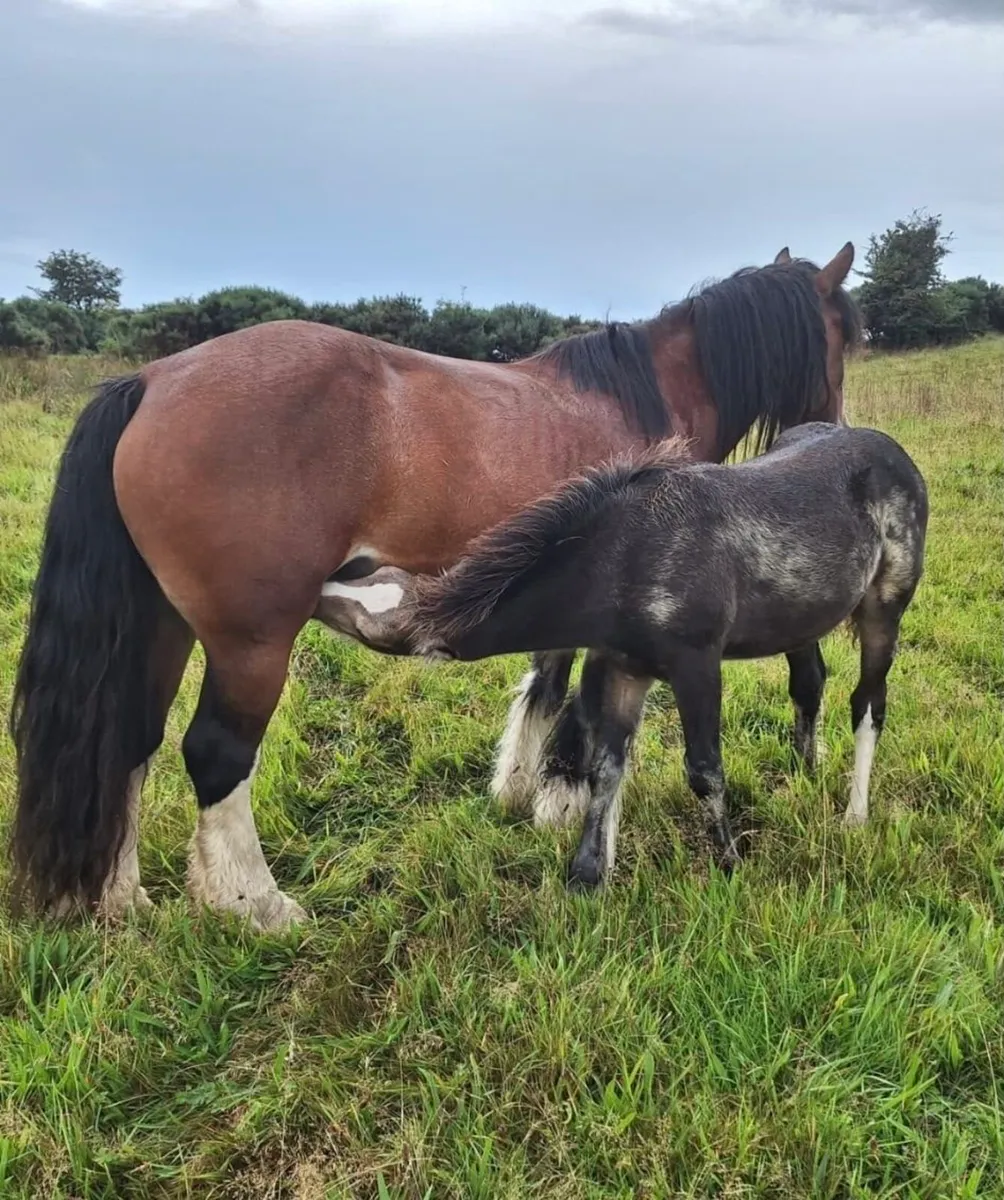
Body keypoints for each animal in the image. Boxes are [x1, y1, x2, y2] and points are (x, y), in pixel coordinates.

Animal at [8, 244, 859, 929]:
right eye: (846, 336)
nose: (829, 433)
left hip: (163, 625)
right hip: (252, 641)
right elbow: (579, 706)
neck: (641, 399)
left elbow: (545, 687)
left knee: (131, 738)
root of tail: (151, 381)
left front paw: (519, 790)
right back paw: (258, 906)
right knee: (216, 755)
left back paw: (123, 901)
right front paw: (562, 797)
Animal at [410, 423, 928, 887]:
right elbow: (605, 767)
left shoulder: (696, 666)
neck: (628, 553)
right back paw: (806, 774)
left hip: (884, 610)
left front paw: (730, 865)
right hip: (801, 621)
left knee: (868, 703)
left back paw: (854, 816)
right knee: (809, 683)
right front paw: (586, 876)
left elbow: (704, 770)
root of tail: (895, 454)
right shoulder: (625, 670)